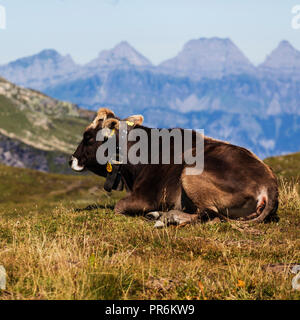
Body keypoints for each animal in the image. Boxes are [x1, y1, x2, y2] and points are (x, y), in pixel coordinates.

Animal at [69, 108, 278, 228]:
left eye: (87, 136)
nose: (72, 159)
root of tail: (269, 183)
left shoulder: (147, 197)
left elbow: (119, 207)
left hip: (190, 174)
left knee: (210, 215)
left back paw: (168, 218)